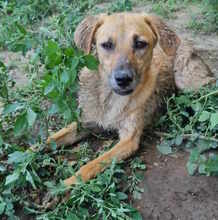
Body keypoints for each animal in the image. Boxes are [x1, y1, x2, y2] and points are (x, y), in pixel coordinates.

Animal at [46, 12, 215, 186]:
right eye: (107, 45)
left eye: (140, 44)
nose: (123, 79)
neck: (110, 98)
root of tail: (184, 41)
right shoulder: (86, 122)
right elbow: (51, 139)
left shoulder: (129, 140)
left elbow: (91, 165)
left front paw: (65, 185)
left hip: (188, 83)